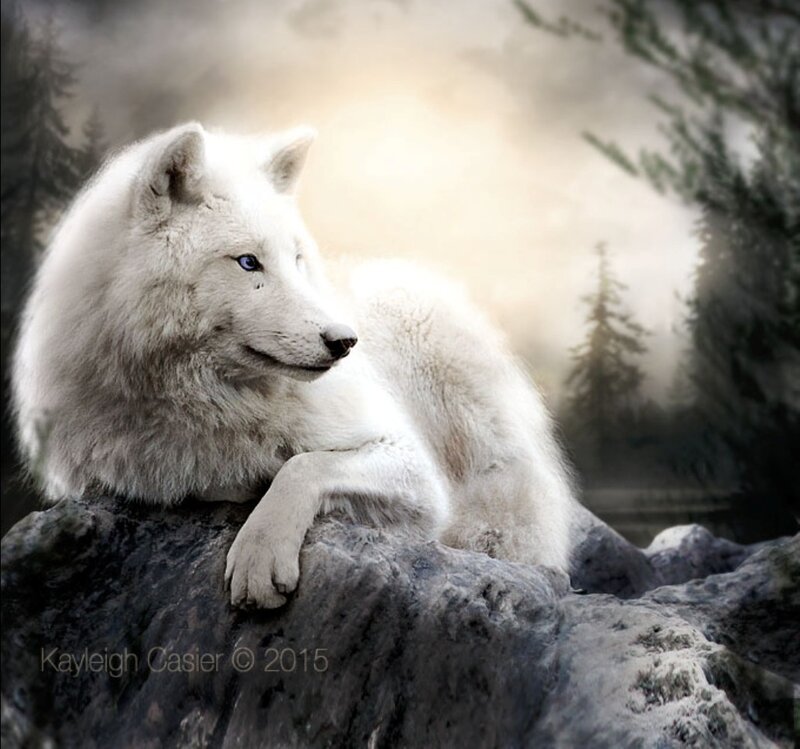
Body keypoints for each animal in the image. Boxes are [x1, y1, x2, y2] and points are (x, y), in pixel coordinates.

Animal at [12, 123, 577, 608]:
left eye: (298, 259)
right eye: (248, 262)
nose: (345, 341)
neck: (206, 394)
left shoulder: (411, 465)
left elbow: (302, 465)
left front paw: (259, 556)